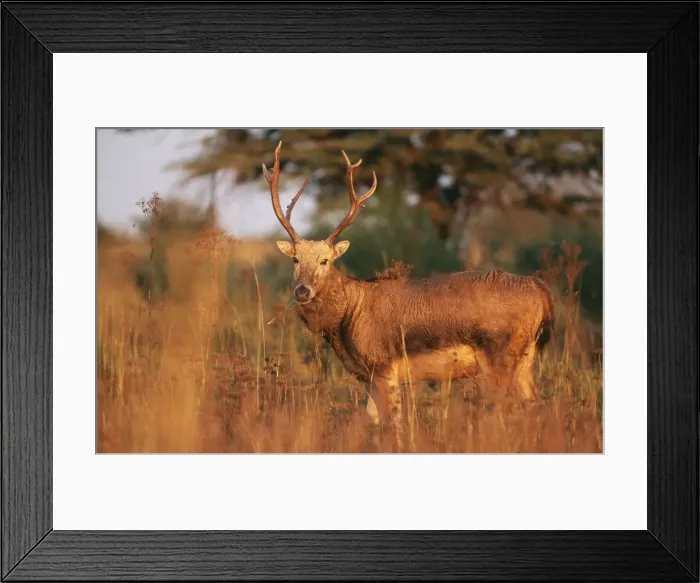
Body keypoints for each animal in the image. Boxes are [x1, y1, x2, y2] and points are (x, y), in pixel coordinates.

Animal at [262, 141, 556, 452]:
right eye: (295, 259)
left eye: (325, 260)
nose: (302, 290)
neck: (348, 317)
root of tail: (539, 289)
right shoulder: (368, 376)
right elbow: (371, 423)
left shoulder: (383, 366)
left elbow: (395, 425)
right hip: (527, 355)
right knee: (535, 405)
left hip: (499, 352)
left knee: (506, 409)